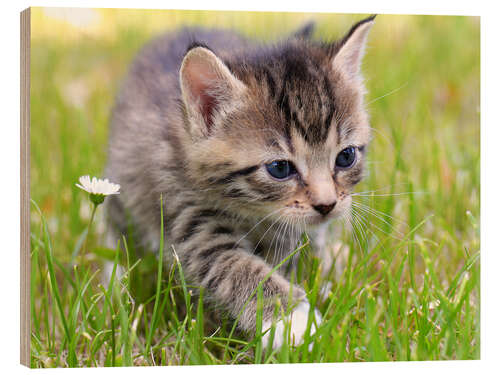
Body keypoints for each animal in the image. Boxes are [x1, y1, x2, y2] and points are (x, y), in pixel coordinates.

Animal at [105, 14, 374, 350]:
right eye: (279, 168)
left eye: (345, 157)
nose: (327, 205)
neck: (254, 212)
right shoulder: (187, 214)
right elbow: (233, 265)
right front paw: (293, 321)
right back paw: (114, 278)